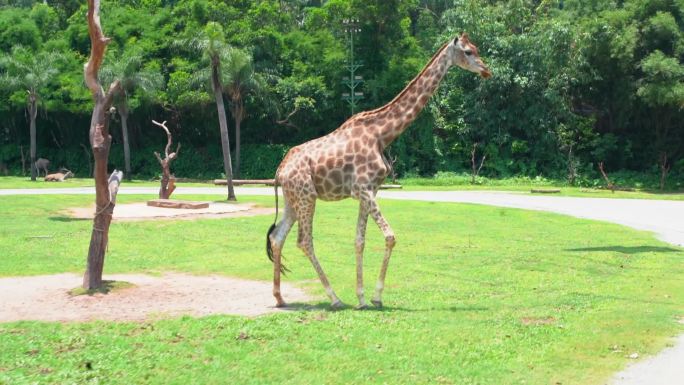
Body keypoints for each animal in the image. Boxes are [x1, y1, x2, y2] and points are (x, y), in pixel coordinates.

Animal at [264, 33, 488, 308]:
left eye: (476, 49)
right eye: (468, 51)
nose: (486, 70)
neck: (382, 134)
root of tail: (280, 170)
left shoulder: (368, 191)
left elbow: (359, 240)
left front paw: (362, 297)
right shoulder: (364, 189)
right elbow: (390, 236)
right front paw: (376, 296)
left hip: (292, 199)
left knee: (278, 237)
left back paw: (279, 297)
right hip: (307, 197)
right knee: (304, 241)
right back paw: (334, 298)